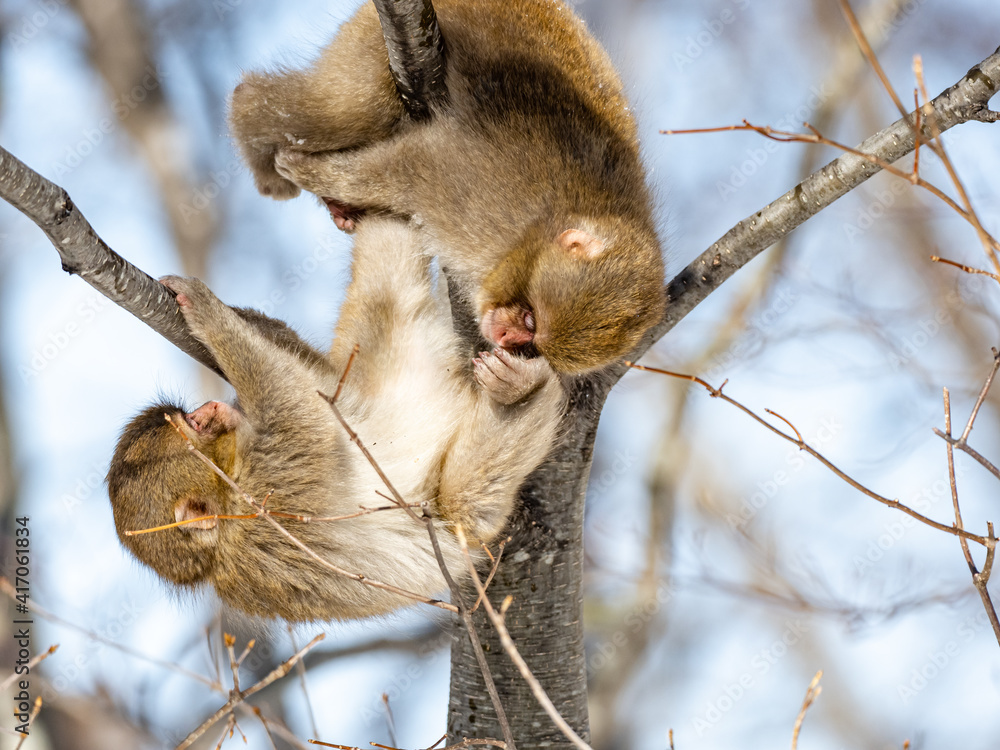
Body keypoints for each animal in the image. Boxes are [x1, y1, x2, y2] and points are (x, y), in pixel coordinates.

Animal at [107, 217, 565, 622]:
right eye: (197, 426)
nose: (213, 411)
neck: (216, 544)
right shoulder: (274, 493)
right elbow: (296, 405)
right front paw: (207, 312)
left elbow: (307, 377)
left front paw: (223, 313)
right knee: (464, 504)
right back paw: (523, 389)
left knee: (383, 293)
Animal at [228, 0, 666, 375]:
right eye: (530, 320)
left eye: (530, 346)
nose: (505, 337)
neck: (535, 231)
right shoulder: (481, 191)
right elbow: (406, 171)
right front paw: (309, 172)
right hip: (374, 41)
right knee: (344, 110)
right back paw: (259, 143)